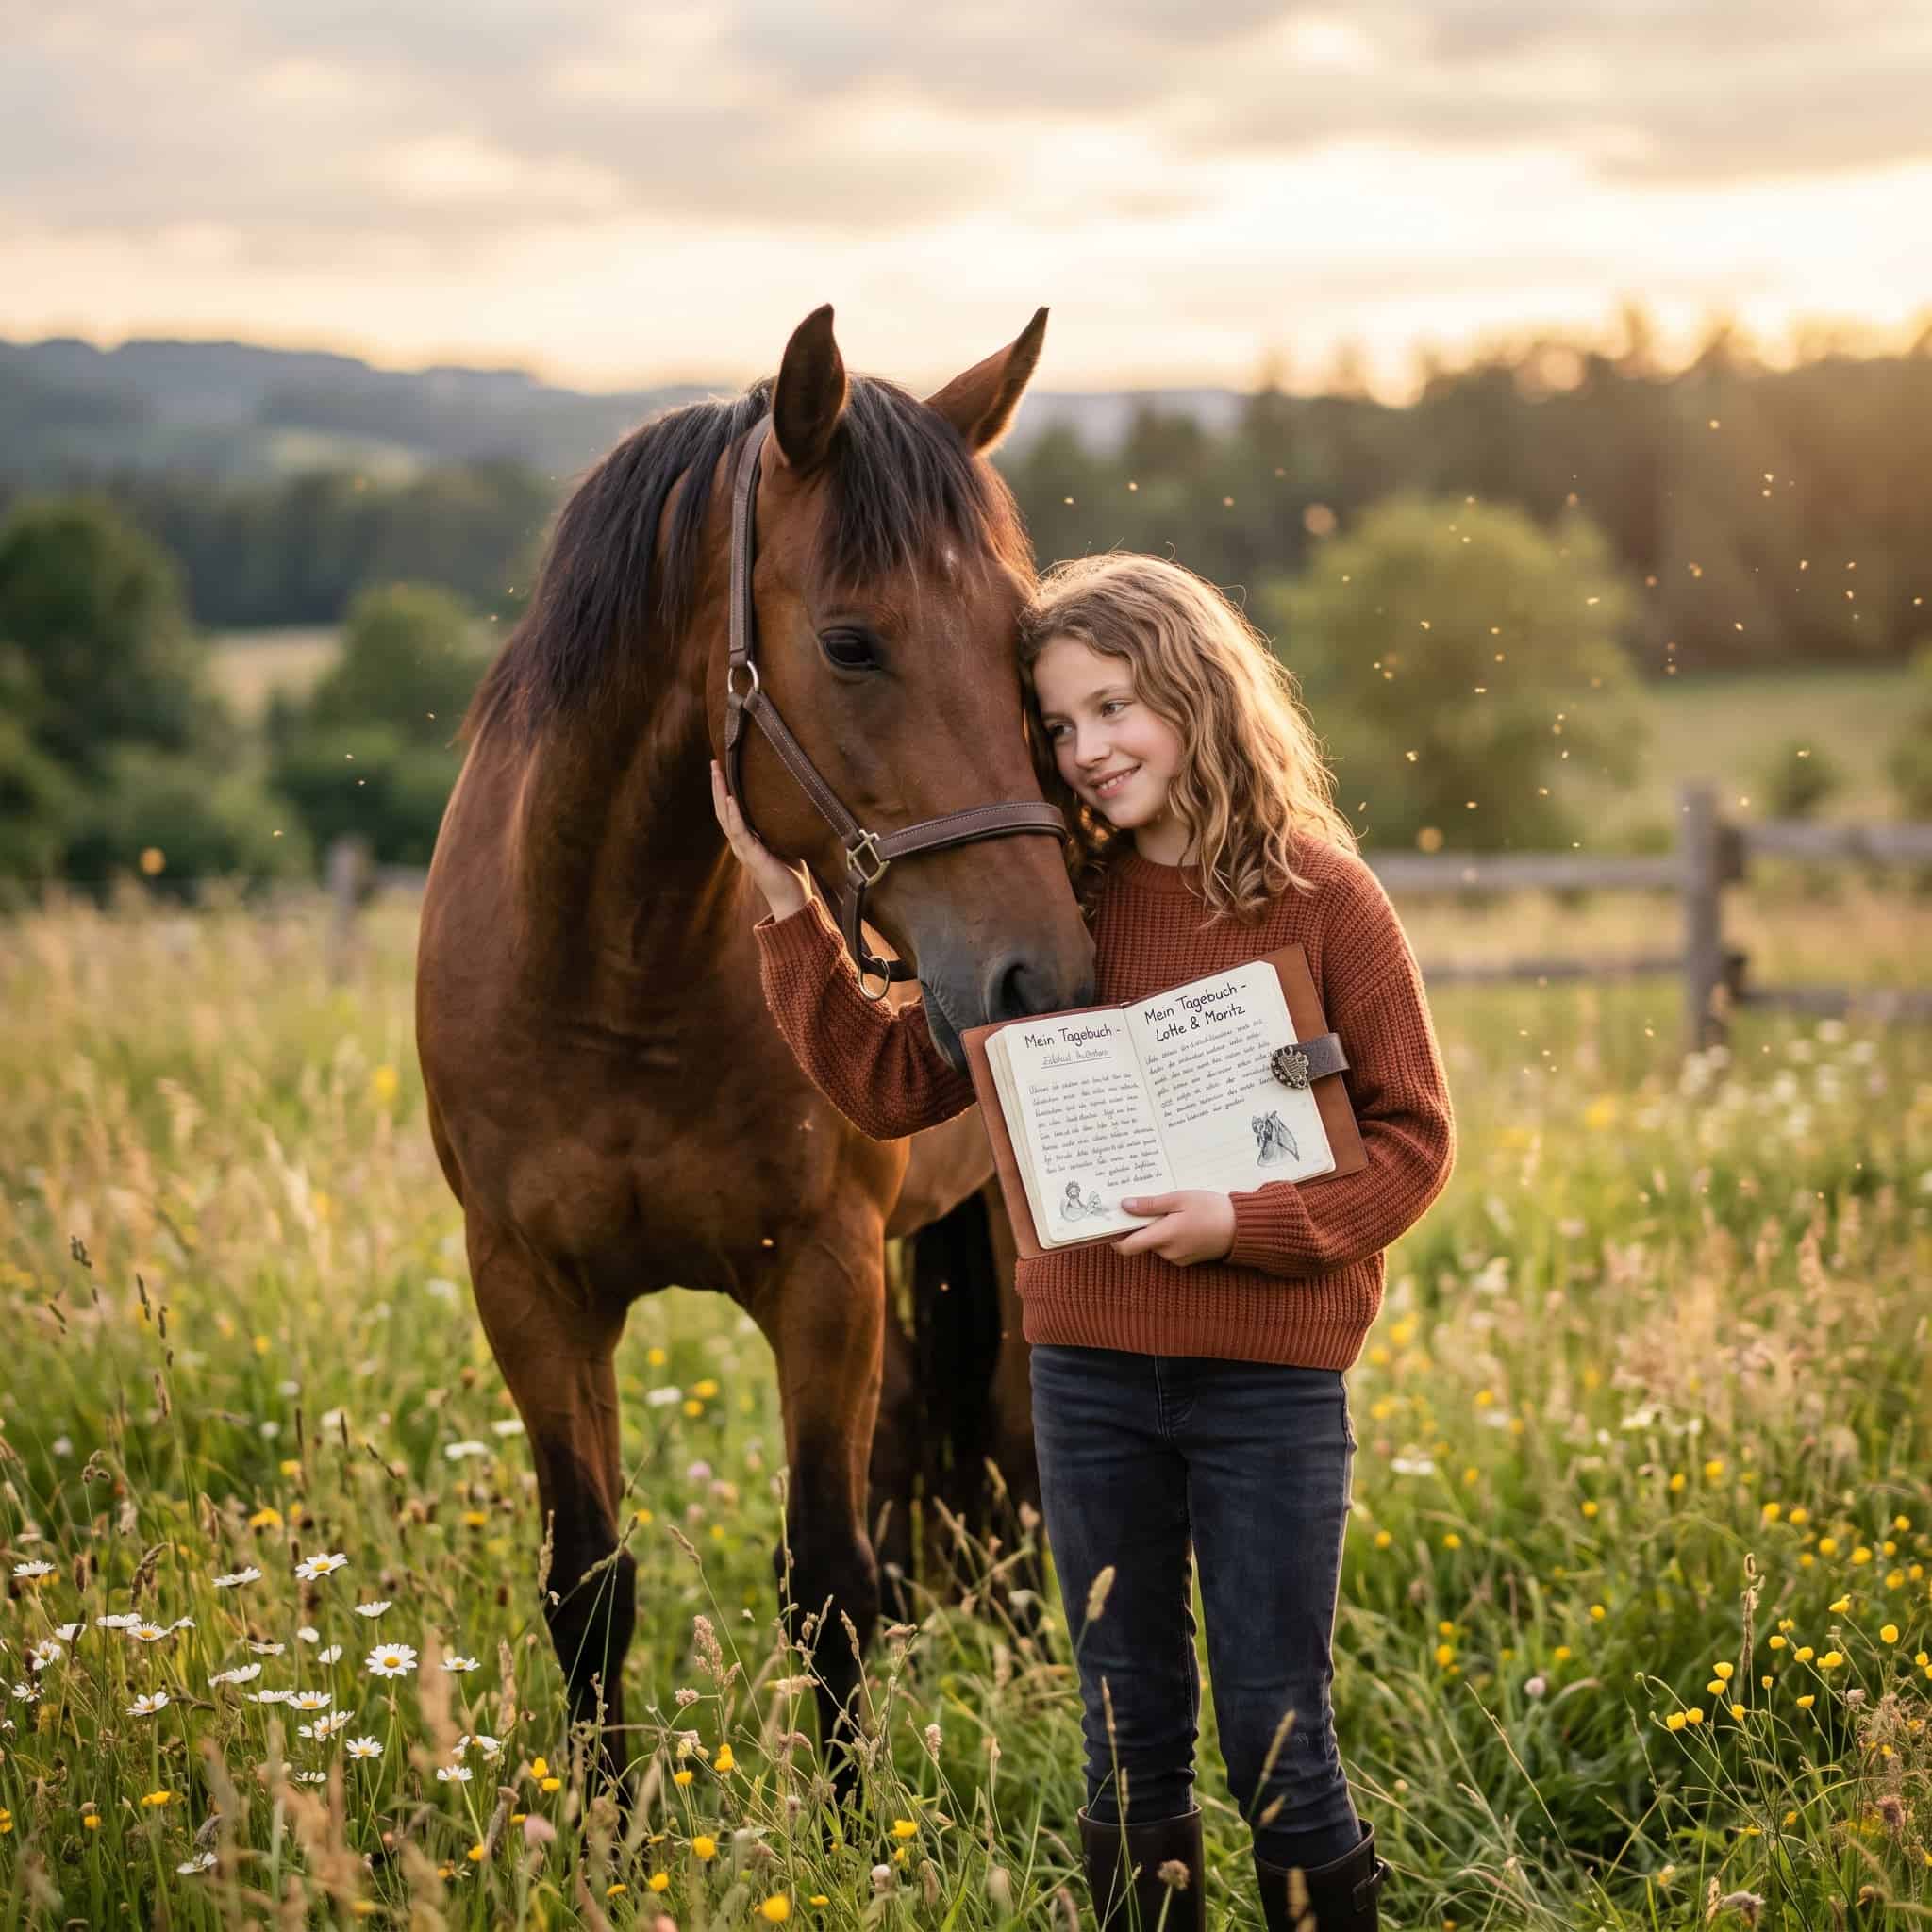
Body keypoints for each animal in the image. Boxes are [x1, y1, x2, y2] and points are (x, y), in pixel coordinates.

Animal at [415, 304, 1094, 1785]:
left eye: (1020, 642)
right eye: (849, 643)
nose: (1046, 973)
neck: (620, 976)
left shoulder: (822, 1277)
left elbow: (825, 1582)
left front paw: (849, 1824)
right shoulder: (528, 1290)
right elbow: (587, 1585)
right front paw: (601, 1825)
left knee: (1021, 1470)